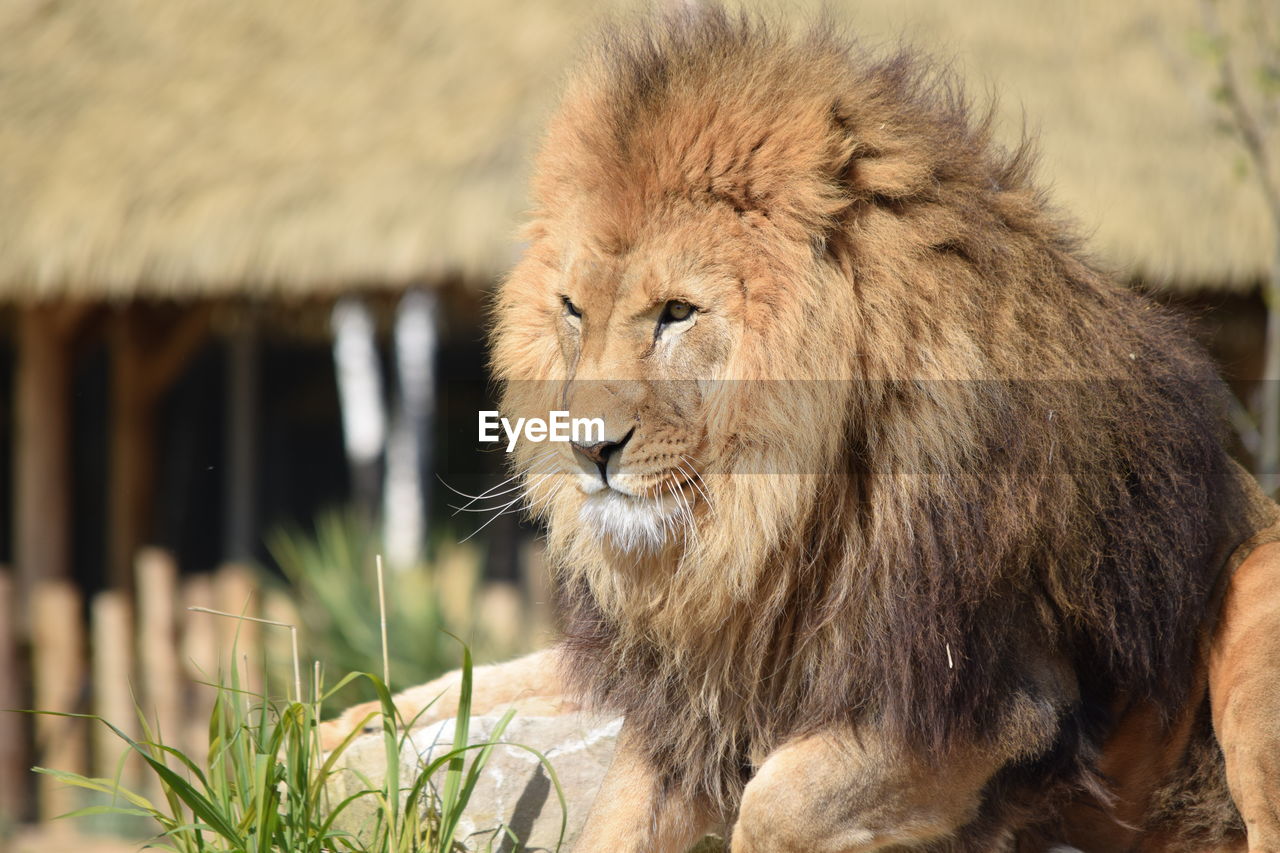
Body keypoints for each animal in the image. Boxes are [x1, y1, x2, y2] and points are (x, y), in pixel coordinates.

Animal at [325, 8, 1280, 850]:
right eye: (571, 309)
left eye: (676, 312)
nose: (587, 450)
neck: (770, 528)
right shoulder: (692, 691)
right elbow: (610, 814)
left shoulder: (1010, 700)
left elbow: (778, 799)